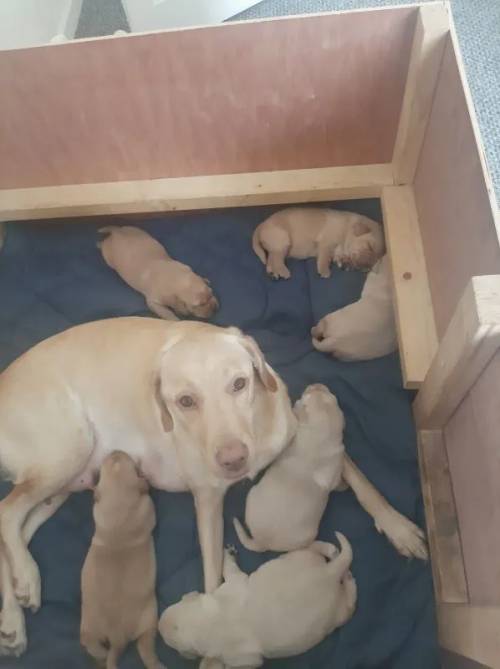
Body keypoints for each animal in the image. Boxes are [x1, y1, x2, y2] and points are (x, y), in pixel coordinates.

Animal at [79, 448, 163, 668]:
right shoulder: (148, 509)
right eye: (129, 462)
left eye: (113, 460)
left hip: (90, 628)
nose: (116, 451)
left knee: (96, 648)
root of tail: (117, 638)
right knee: (146, 647)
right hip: (150, 618)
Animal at [160, 536, 356, 668]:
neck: (210, 622)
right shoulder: (233, 584)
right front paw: (228, 554)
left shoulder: (245, 659)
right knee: (314, 550)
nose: (159, 624)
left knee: (350, 603)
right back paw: (331, 551)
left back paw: (348, 578)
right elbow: (231, 571)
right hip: (300, 558)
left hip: (339, 614)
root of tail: (330, 572)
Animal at [252, 204, 384, 276]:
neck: (347, 229)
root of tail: (261, 225)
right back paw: (283, 272)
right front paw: (324, 270)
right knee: (277, 260)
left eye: (377, 257)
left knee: (270, 259)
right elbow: (324, 257)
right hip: (282, 241)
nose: (366, 267)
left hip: (276, 246)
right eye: (369, 246)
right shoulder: (327, 242)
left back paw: (273, 272)